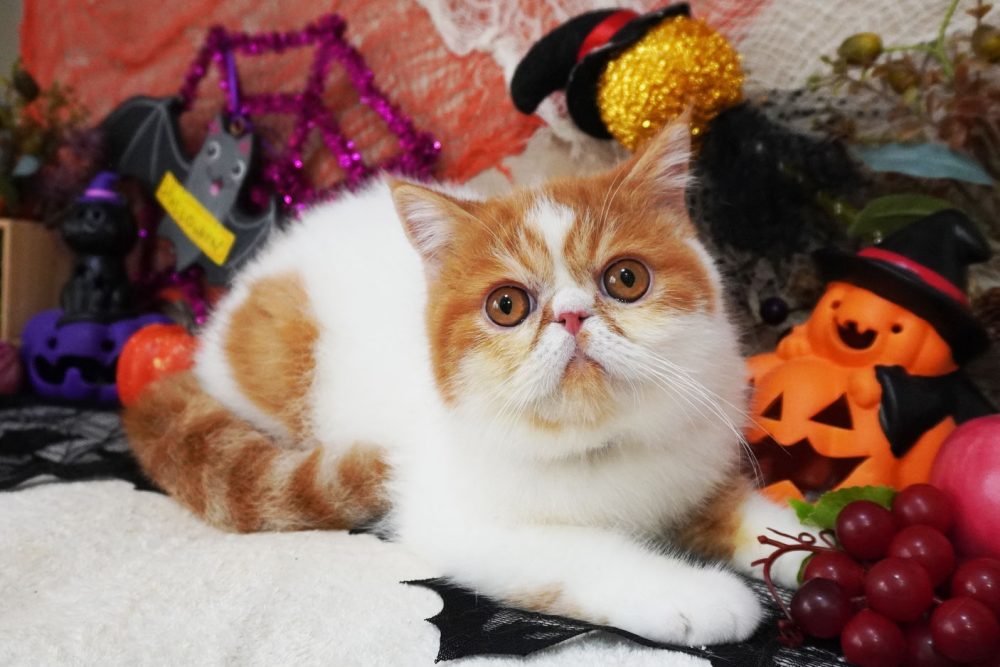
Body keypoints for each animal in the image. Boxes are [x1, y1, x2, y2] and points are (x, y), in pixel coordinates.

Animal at [123, 121, 809, 646]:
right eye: (506, 306)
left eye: (627, 279)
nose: (571, 315)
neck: (597, 446)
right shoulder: (456, 521)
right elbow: (580, 553)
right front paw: (693, 594)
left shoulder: (695, 460)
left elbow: (755, 519)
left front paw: (816, 549)